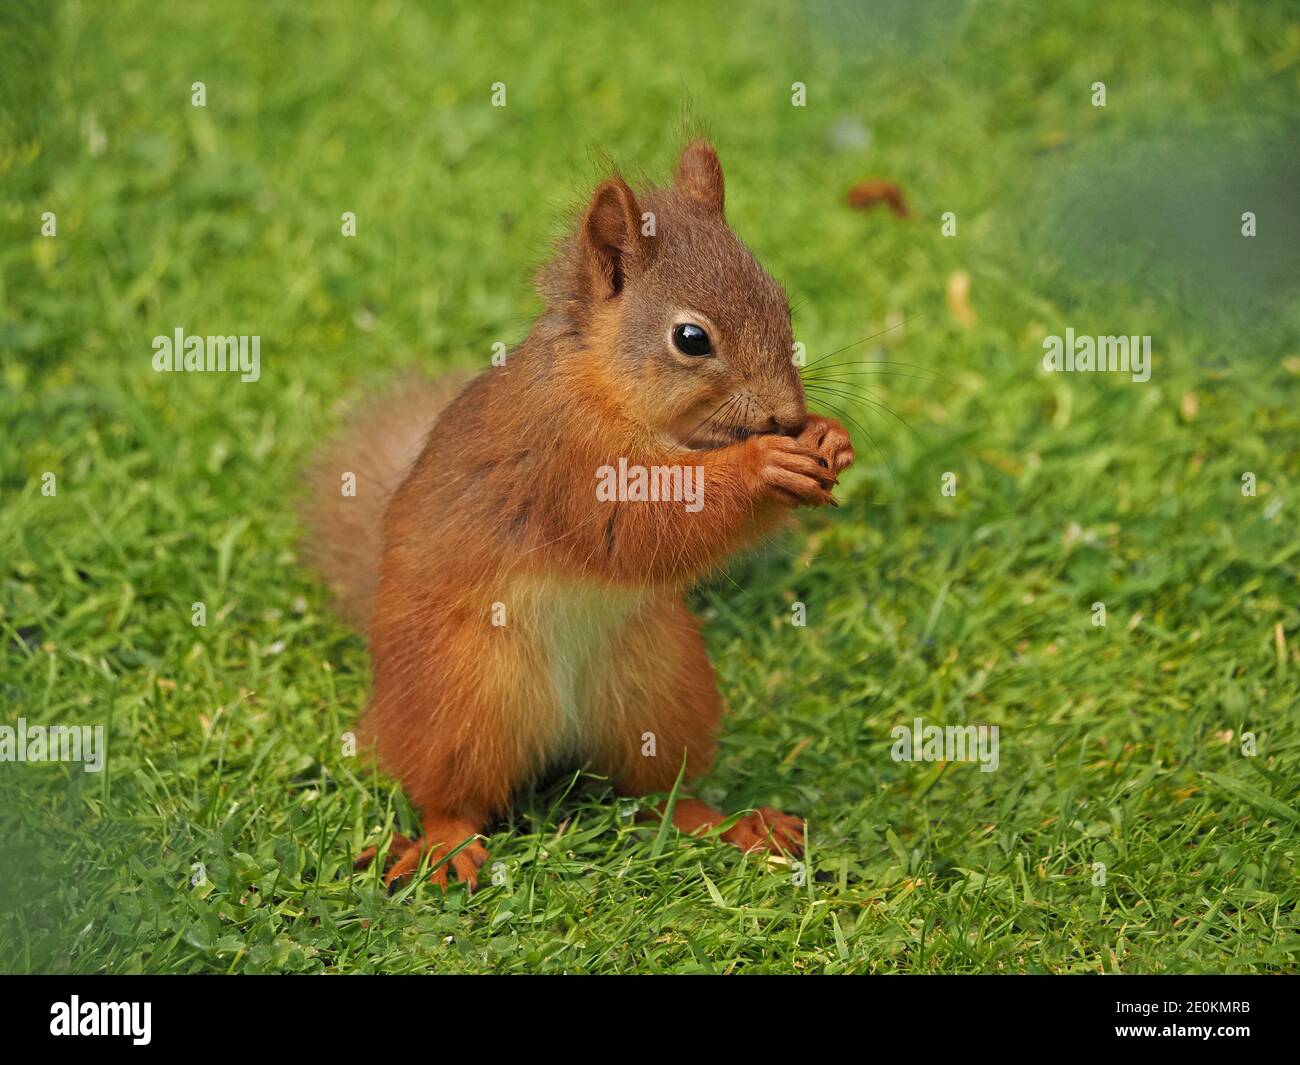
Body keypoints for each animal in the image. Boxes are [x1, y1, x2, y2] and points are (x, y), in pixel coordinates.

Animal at [303, 141, 855, 890]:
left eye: (782, 303)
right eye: (691, 338)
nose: (788, 416)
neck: (603, 385)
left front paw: (828, 436)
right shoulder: (565, 460)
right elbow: (639, 524)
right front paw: (762, 466)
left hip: (661, 688)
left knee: (654, 792)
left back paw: (735, 823)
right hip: (462, 696)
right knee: (448, 792)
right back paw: (447, 846)